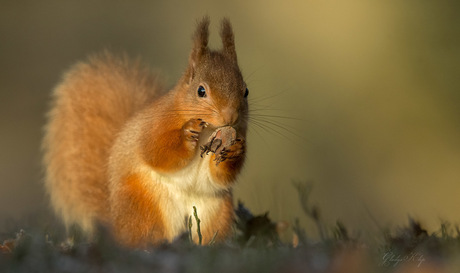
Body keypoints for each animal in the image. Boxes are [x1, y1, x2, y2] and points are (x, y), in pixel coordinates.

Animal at [43, 17, 248, 246]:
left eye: (246, 91)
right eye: (201, 91)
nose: (230, 117)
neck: (208, 130)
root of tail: (116, 225)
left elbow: (221, 177)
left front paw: (235, 149)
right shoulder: (154, 125)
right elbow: (155, 151)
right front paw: (186, 133)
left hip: (217, 213)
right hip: (144, 206)